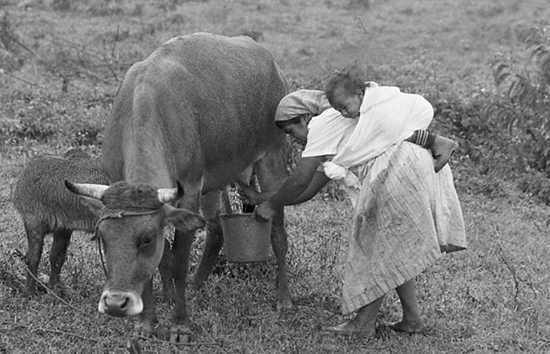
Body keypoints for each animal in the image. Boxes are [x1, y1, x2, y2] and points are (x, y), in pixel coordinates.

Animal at [66, 34, 294, 342]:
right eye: (102, 237)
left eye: (146, 239)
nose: (115, 303)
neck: (149, 106)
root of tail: (269, 61)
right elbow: (161, 261)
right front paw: (147, 322)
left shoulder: (189, 191)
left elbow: (178, 261)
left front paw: (180, 324)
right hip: (215, 184)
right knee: (216, 231)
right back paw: (197, 286)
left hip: (272, 159)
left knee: (278, 232)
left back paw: (283, 298)